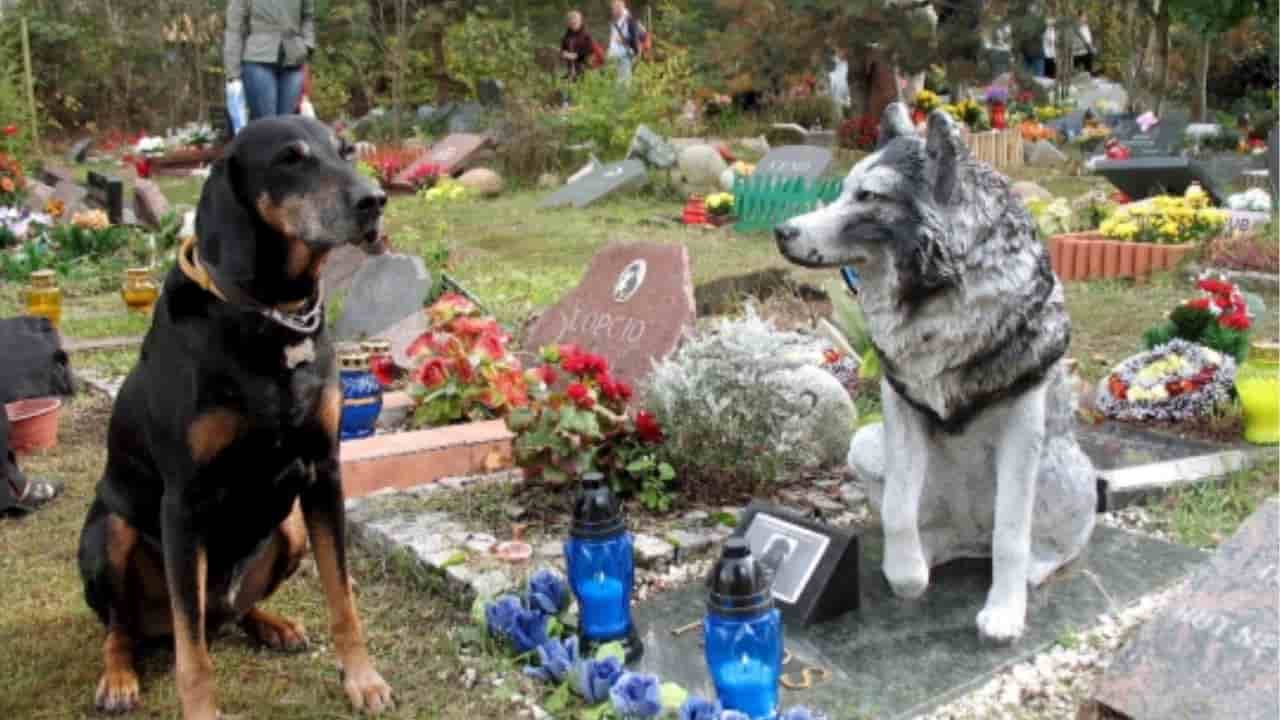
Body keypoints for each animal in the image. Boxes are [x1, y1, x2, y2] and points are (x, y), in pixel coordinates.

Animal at [78, 114, 391, 712]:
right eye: (291, 158)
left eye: (344, 150)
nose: (374, 201)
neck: (272, 316)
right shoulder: (183, 502)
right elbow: (192, 654)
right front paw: (201, 712)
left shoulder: (324, 473)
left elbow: (342, 598)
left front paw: (363, 680)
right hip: (110, 533)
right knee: (128, 627)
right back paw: (119, 676)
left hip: (289, 529)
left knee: (227, 613)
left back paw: (273, 624)